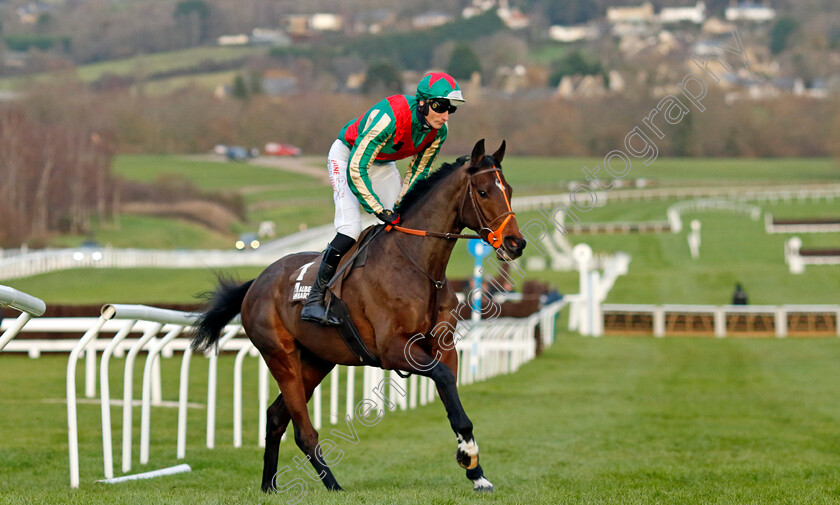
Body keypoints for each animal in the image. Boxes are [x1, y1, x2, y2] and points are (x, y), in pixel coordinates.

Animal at [194, 140, 528, 494]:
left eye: (508, 189)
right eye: (483, 191)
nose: (516, 243)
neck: (418, 265)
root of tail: (257, 280)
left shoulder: (444, 347)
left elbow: (452, 396)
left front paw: (475, 471)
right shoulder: (394, 350)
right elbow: (444, 380)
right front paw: (469, 456)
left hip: (316, 360)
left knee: (275, 417)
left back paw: (268, 486)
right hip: (280, 356)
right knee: (302, 430)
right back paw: (333, 486)